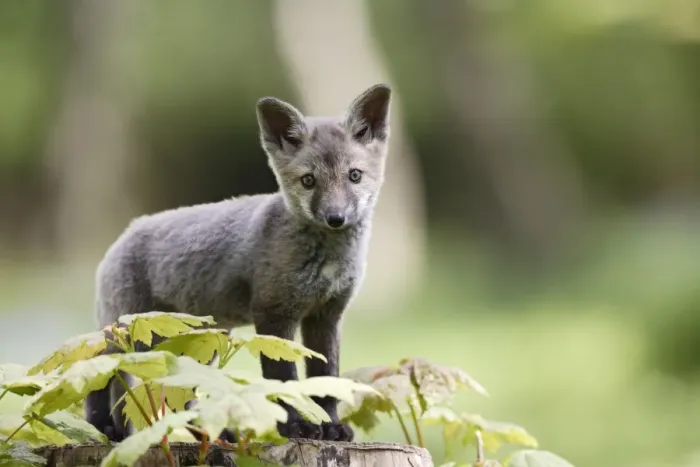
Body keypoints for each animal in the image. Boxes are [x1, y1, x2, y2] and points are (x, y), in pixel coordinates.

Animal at [84, 83, 392, 443]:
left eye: (354, 176)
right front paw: (295, 426)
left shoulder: (326, 316)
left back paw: (212, 433)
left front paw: (330, 425)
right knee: (99, 370)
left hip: (195, 345)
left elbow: (326, 380)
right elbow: (283, 379)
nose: (336, 218)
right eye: (309, 181)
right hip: (127, 334)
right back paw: (103, 426)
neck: (326, 260)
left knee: (179, 397)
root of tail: (127, 231)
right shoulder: (274, 313)